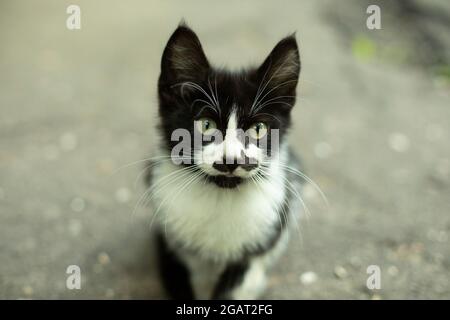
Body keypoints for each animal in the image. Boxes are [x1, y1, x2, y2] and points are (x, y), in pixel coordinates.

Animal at [149, 23, 304, 300]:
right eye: (206, 125)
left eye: (258, 129)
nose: (231, 160)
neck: (221, 197)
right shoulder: (168, 238)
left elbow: (237, 285)